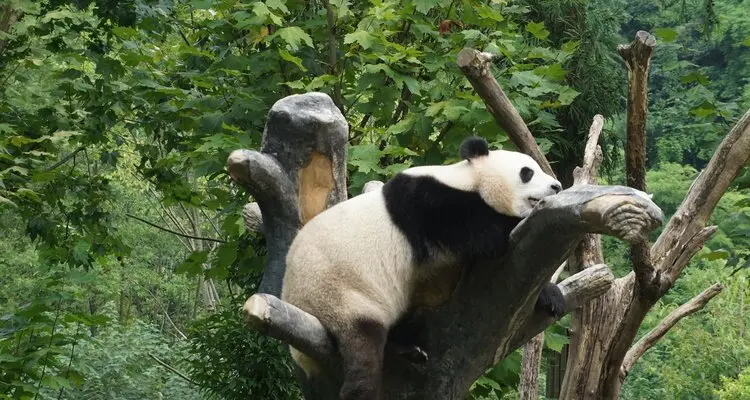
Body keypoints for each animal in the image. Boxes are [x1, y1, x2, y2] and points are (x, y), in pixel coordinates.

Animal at [281, 136, 565, 400]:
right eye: (527, 172)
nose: (557, 186)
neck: (469, 180)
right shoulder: (428, 204)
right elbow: (486, 234)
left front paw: (551, 297)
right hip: (338, 293)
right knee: (363, 346)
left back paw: (409, 348)